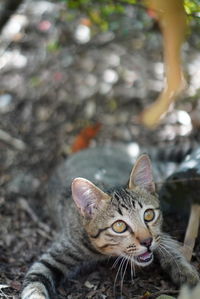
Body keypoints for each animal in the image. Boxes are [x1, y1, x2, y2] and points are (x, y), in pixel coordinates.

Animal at [21, 148, 199, 299]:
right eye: (119, 226)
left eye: (148, 215)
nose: (147, 242)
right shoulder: (58, 253)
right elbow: (34, 282)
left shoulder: (159, 235)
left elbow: (169, 249)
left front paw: (186, 272)